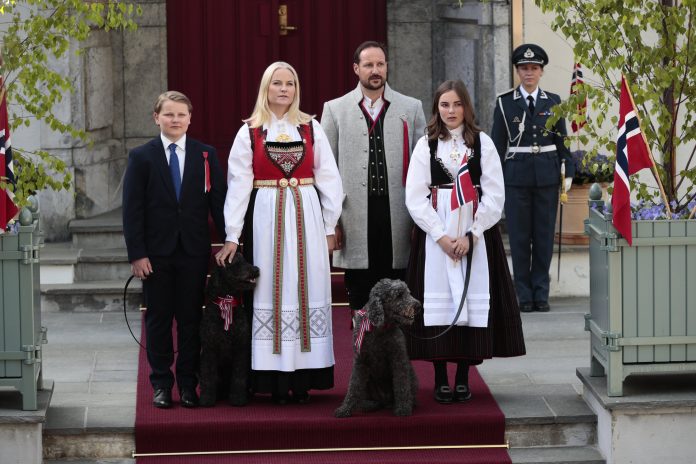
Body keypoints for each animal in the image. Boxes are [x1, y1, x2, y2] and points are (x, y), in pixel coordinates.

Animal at [199, 252, 259, 407]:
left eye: (244, 260)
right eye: (234, 263)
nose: (256, 269)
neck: (227, 304)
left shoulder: (241, 349)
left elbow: (238, 377)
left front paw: (238, 399)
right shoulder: (209, 349)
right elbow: (208, 376)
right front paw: (206, 399)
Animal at [335, 279, 422, 417]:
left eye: (408, 292)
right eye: (399, 295)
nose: (418, 306)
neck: (379, 328)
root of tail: (384, 400)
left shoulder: (399, 360)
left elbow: (402, 384)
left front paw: (403, 408)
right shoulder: (360, 361)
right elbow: (354, 386)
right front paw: (345, 409)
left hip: (412, 376)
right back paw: (367, 405)